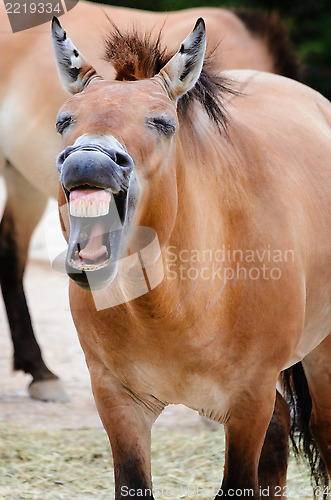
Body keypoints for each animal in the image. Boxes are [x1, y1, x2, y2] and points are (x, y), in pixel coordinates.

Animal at [52, 13, 331, 500]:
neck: (176, 304)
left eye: (162, 122)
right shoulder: (117, 401)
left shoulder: (248, 400)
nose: (89, 161)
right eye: (64, 120)